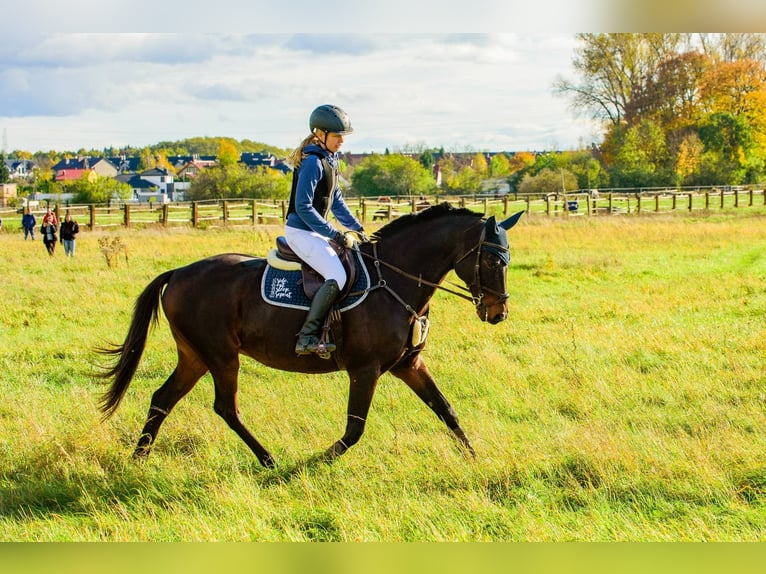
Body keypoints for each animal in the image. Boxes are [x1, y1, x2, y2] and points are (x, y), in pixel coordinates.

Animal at [97, 203, 523, 468]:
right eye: (490, 260)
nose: (498, 313)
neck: (395, 278)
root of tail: (179, 273)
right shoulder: (365, 369)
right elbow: (354, 429)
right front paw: (315, 461)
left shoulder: (409, 364)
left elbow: (445, 410)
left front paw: (474, 457)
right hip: (220, 356)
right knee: (225, 407)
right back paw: (269, 460)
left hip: (196, 356)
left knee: (162, 399)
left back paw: (138, 459)